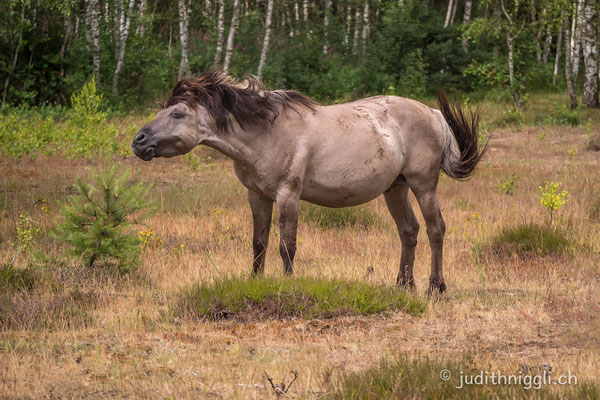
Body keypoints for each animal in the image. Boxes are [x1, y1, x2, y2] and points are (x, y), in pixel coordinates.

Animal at [132, 70, 488, 294]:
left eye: (177, 114)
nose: (139, 141)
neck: (267, 132)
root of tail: (433, 113)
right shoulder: (257, 195)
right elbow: (259, 242)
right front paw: (255, 281)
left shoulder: (288, 194)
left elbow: (286, 245)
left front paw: (289, 285)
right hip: (395, 188)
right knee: (409, 231)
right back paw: (403, 284)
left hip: (423, 184)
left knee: (435, 229)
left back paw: (435, 286)